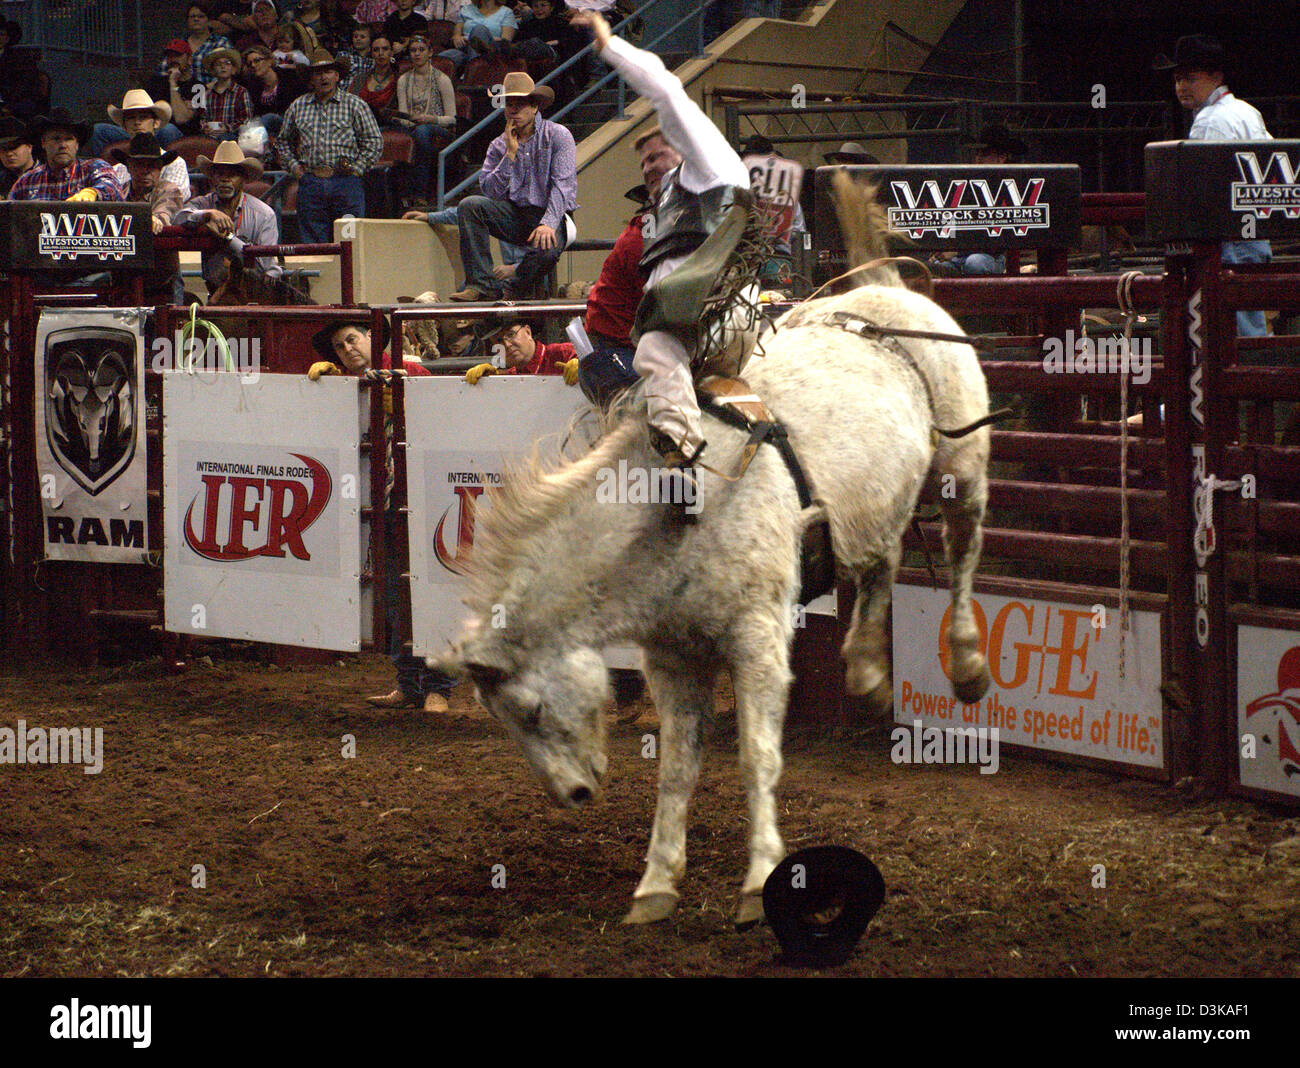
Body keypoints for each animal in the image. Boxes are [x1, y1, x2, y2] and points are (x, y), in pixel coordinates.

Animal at [441, 175, 987, 930]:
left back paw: (967, 665)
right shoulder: (674, 659)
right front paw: (655, 884)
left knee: (962, 554)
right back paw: (867, 673)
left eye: (530, 712)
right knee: (879, 564)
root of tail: (882, 291)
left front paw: (759, 881)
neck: (666, 514)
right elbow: (677, 767)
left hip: (964, 465)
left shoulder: (756, 639)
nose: (575, 797)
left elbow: (758, 756)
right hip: (874, 505)